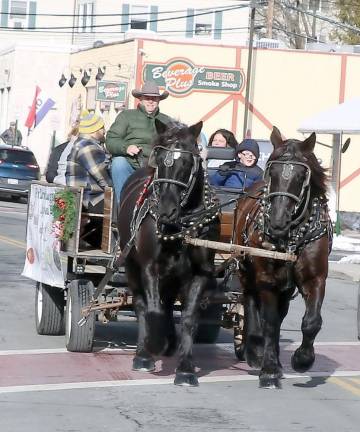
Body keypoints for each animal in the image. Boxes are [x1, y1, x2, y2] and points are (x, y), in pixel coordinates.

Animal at [118, 120, 219, 386]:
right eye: (161, 160)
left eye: (187, 162)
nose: (165, 210)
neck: (182, 225)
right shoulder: (149, 267)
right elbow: (151, 309)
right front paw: (153, 345)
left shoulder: (200, 273)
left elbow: (189, 317)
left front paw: (186, 368)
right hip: (131, 263)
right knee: (142, 305)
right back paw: (143, 354)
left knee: (168, 302)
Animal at [233, 126, 332, 390]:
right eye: (272, 171)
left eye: (301, 175)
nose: (277, 221)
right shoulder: (267, 279)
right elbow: (268, 321)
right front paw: (268, 369)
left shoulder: (315, 278)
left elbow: (312, 321)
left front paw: (303, 359)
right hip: (245, 270)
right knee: (250, 301)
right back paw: (254, 350)